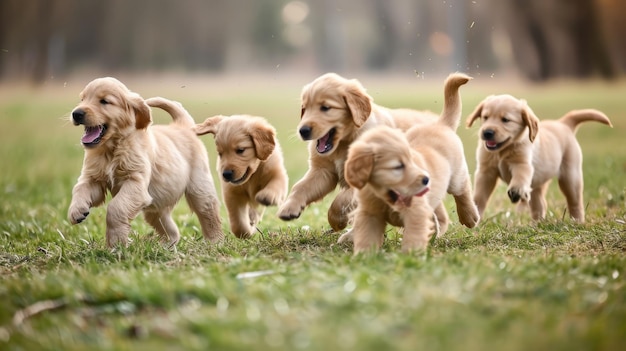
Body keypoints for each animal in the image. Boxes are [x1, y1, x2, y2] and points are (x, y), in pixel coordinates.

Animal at [67, 77, 223, 248]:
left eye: (104, 101)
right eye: (82, 99)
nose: (76, 113)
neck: (113, 148)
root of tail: (183, 126)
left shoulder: (135, 183)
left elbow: (116, 208)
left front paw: (116, 244)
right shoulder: (94, 178)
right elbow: (80, 187)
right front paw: (77, 210)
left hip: (200, 189)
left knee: (208, 214)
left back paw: (215, 242)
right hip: (156, 205)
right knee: (169, 228)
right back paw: (166, 246)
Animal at [278, 73, 438, 232]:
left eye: (325, 108)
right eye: (304, 108)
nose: (303, 131)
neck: (343, 144)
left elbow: (341, 200)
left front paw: (337, 220)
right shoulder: (322, 171)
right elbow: (300, 187)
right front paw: (289, 208)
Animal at [338, 73, 476, 253]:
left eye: (411, 161)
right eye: (398, 167)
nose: (425, 179)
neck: (387, 198)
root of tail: (440, 124)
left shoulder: (415, 213)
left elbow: (413, 236)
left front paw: (410, 254)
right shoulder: (370, 214)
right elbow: (366, 236)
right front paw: (364, 254)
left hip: (456, 178)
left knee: (463, 189)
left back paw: (469, 216)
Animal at [468, 94, 608, 223]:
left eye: (505, 120)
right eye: (485, 117)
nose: (487, 132)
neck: (502, 151)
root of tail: (563, 123)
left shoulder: (522, 164)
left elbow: (520, 176)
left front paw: (516, 190)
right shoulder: (485, 172)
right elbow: (480, 196)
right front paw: (473, 215)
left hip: (570, 177)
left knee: (575, 202)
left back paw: (577, 222)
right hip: (537, 185)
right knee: (540, 205)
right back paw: (537, 224)